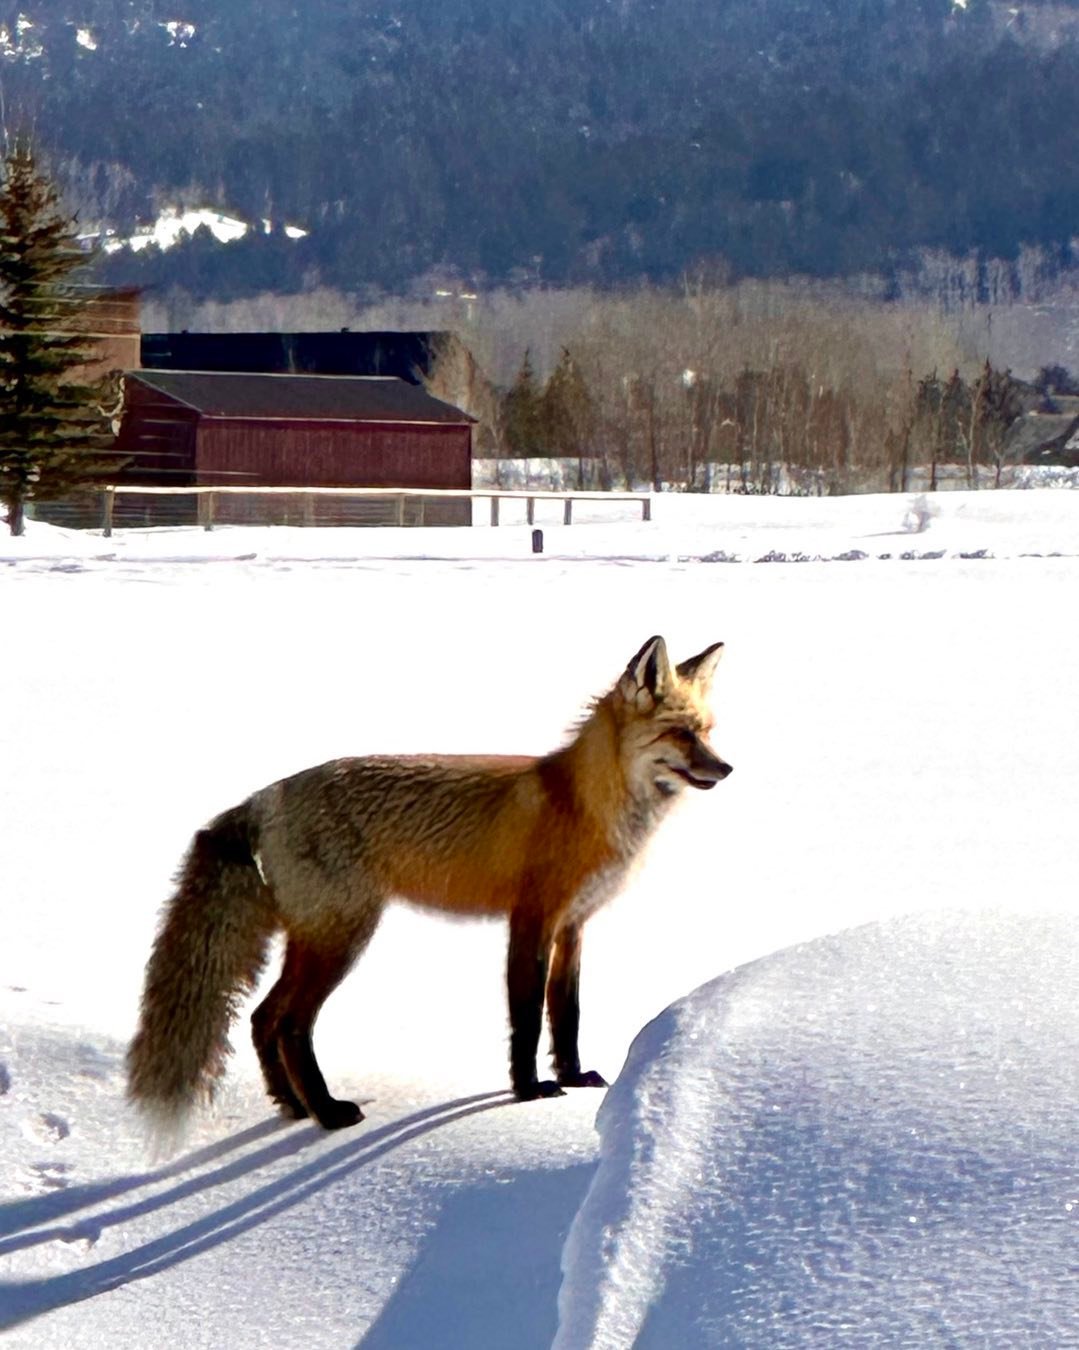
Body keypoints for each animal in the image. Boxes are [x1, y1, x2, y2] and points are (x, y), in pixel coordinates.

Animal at [127, 635, 731, 1133]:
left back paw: (295, 1107)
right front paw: (529, 1092)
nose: (726, 769)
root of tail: (265, 797)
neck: (583, 806)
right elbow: (526, 1018)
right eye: (680, 734)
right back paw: (329, 1114)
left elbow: (567, 1013)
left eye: (706, 731)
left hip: (315, 938)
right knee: (291, 1024)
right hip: (343, 937)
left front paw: (574, 1077)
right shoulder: (531, 920)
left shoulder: (574, 926)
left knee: (261, 1018)